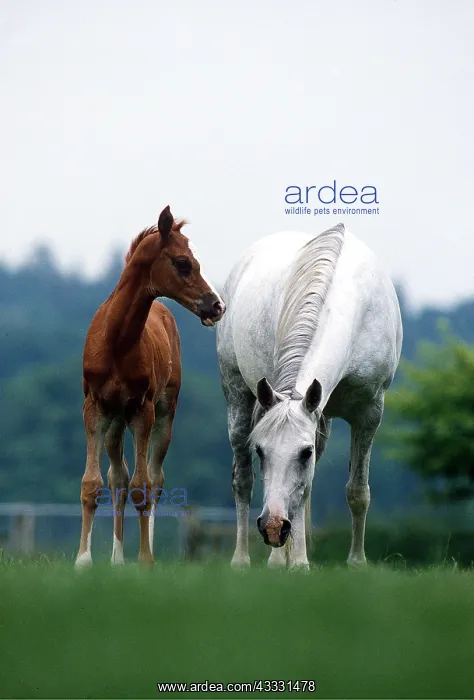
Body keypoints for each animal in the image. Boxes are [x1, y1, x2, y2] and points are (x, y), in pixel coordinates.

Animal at [75, 206, 225, 567]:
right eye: (183, 262)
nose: (217, 305)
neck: (117, 343)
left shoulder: (143, 410)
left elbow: (143, 486)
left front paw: (145, 561)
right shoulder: (94, 407)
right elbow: (92, 483)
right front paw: (83, 561)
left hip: (164, 412)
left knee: (154, 480)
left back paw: (143, 554)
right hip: (116, 421)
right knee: (118, 477)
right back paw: (116, 559)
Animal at [216, 223, 402, 569]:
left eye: (305, 453)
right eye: (260, 450)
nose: (272, 527)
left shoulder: (369, 413)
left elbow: (356, 491)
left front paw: (356, 562)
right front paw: (292, 563)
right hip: (236, 395)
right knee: (243, 481)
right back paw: (247, 560)